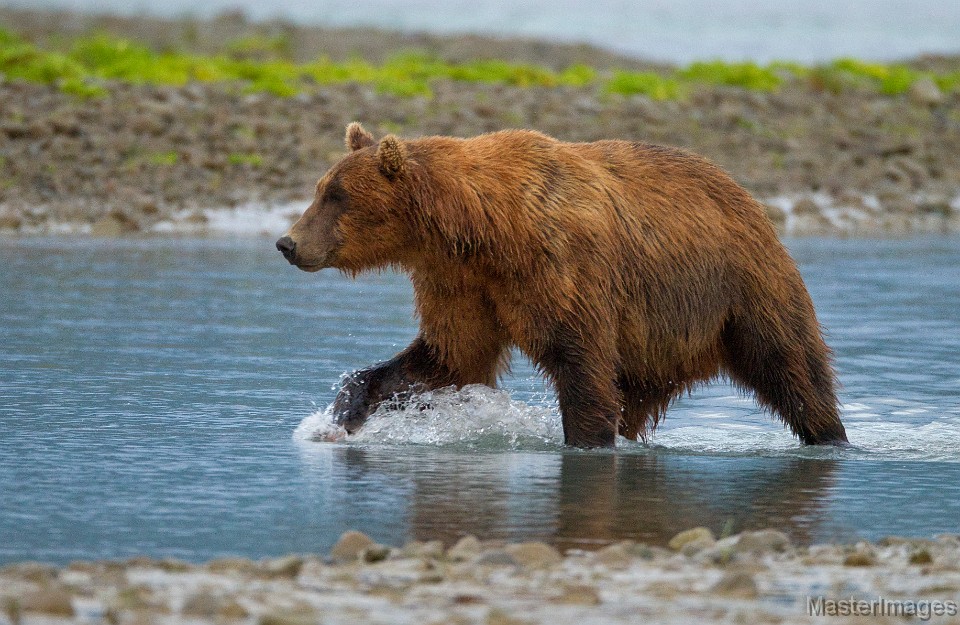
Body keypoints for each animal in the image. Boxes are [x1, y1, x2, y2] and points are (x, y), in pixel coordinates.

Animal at [278, 122, 848, 446]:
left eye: (337, 196)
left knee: (793, 368)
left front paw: (584, 443)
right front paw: (340, 415)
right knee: (637, 394)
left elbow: (579, 362)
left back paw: (831, 436)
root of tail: (749, 197)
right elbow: (448, 357)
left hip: (741, 291)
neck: (480, 231)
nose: (288, 242)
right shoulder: (458, 283)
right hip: (659, 341)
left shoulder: (557, 270)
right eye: (322, 188)